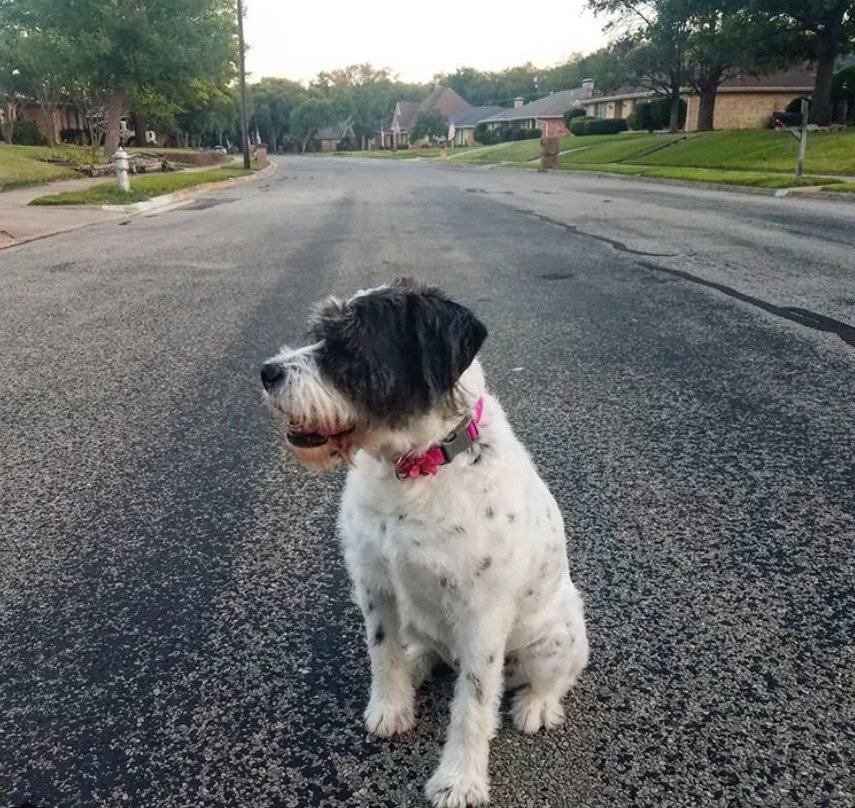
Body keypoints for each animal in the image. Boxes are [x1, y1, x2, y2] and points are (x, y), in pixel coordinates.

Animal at [260, 280, 588, 804]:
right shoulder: (374, 583)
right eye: (319, 333)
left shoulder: (483, 616)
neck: (416, 465)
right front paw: (390, 709)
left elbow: (474, 704)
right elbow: (382, 652)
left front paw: (460, 780)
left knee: (554, 678)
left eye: (349, 344)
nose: (268, 372)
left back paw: (536, 706)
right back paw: (418, 662)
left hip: (557, 637)